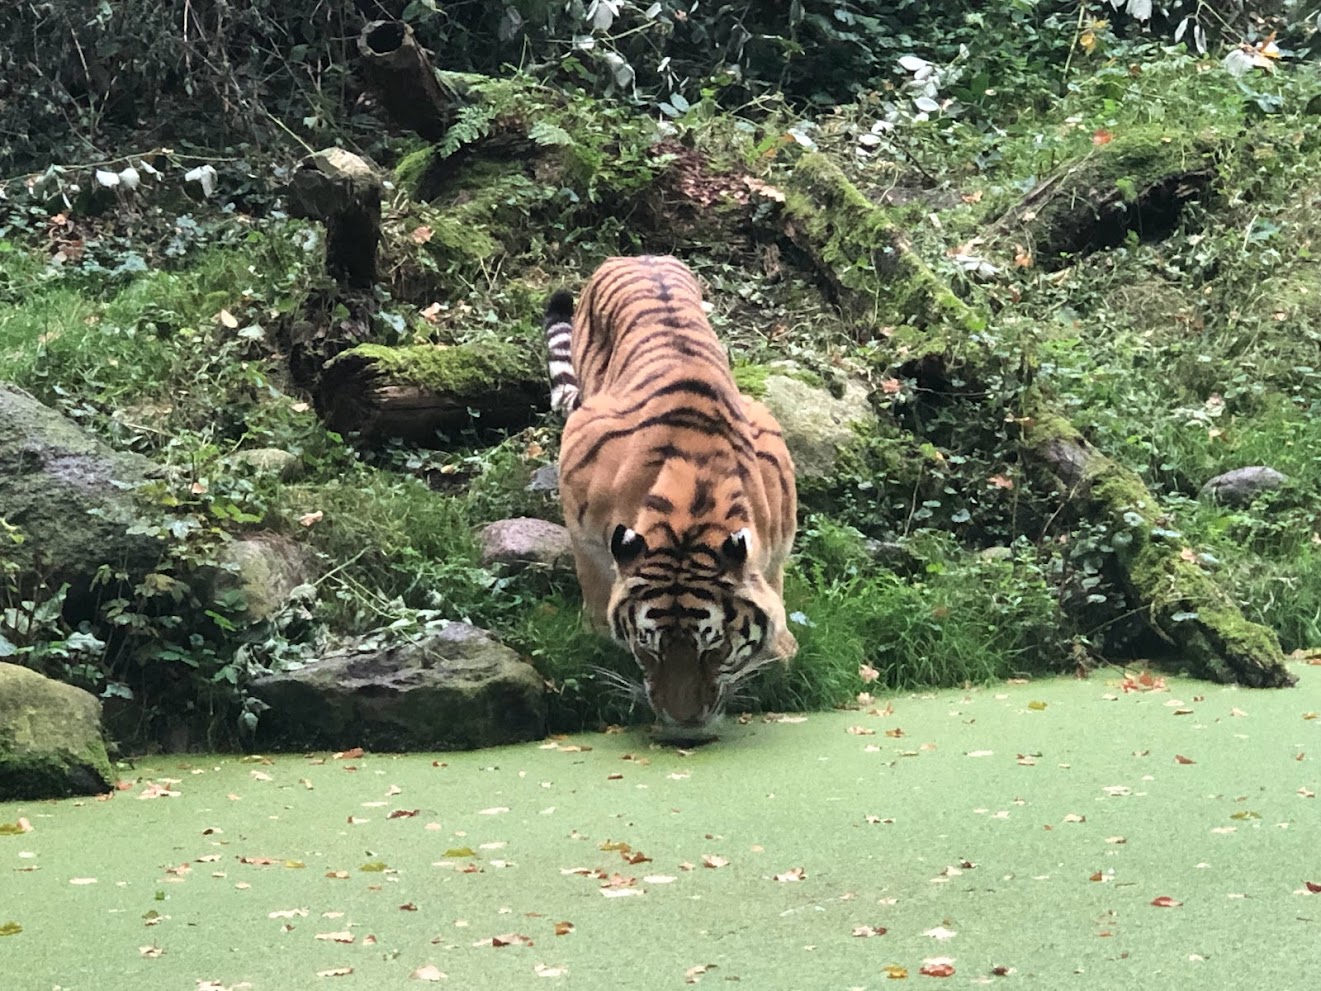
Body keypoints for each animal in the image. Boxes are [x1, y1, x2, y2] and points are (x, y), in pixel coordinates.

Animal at [543, 255, 798, 740]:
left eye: (714, 651)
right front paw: (595, 639)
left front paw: (782, 650)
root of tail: (634, 256)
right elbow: (594, 583)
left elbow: (773, 582)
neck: (692, 506)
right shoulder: (579, 502)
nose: (684, 725)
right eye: (649, 651)